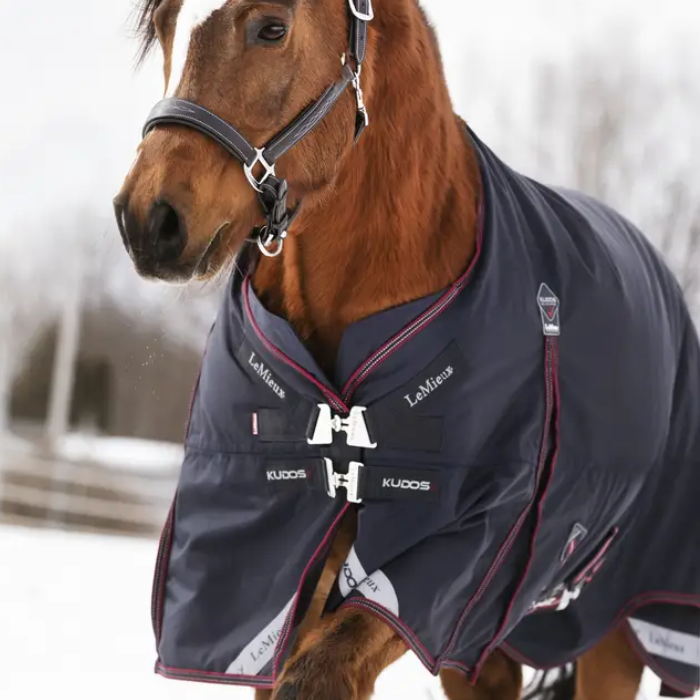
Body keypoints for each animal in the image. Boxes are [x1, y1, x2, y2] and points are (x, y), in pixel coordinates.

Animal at [113, 1, 700, 699]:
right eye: (165, 27)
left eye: (272, 28)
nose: (148, 220)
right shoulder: (280, 573)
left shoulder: (448, 561)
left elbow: (322, 671)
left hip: (620, 631)